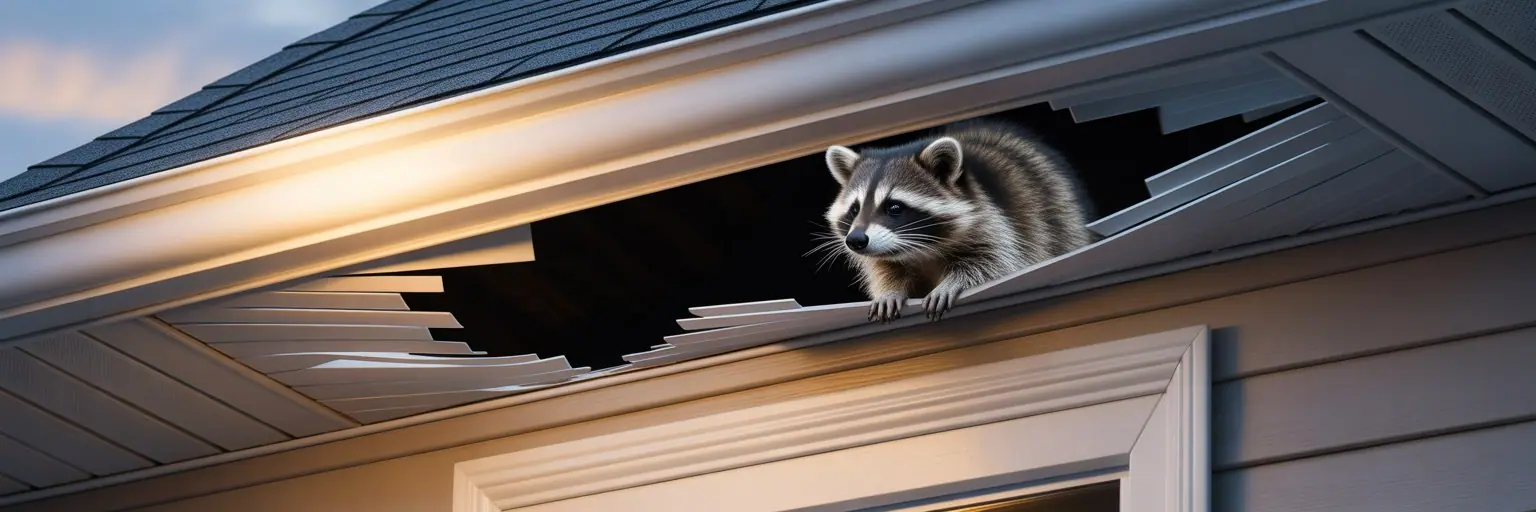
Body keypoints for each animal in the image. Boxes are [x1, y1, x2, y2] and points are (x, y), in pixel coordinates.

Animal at [819, 120, 1096, 322]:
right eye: (854, 209)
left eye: (894, 207)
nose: (856, 240)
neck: (921, 250)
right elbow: (885, 269)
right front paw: (889, 290)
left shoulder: (997, 223)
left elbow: (998, 262)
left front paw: (954, 282)